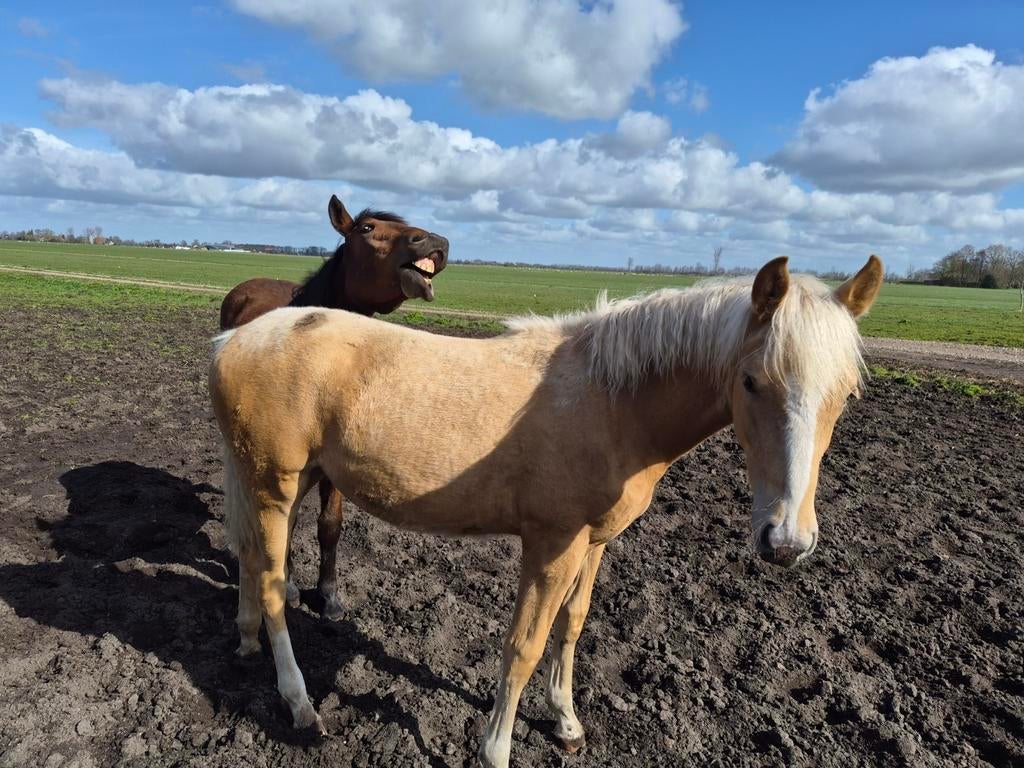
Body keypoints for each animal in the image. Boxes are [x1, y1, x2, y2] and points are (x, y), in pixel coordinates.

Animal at [209, 255, 883, 767]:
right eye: (750, 382)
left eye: (846, 393)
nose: (786, 542)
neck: (614, 404)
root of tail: (233, 340)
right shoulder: (552, 543)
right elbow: (525, 644)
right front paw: (496, 749)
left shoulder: (593, 543)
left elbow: (572, 625)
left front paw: (565, 721)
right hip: (275, 487)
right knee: (273, 585)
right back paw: (299, 703)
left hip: (281, 483)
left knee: (250, 560)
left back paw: (244, 641)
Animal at [219, 194, 449, 621]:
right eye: (367, 228)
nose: (435, 241)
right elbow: (286, 525)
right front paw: (291, 586)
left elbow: (330, 525)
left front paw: (328, 595)